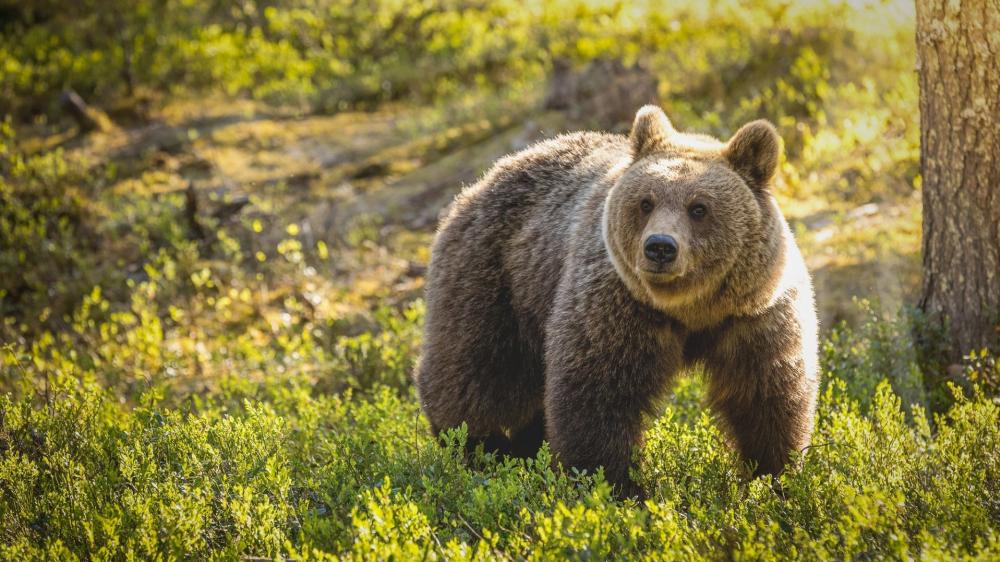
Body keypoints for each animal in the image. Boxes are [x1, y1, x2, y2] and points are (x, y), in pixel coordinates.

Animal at [414, 105, 819, 498]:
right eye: (646, 202)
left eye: (699, 207)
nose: (660, 247)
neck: (690, 309)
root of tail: (485, 178)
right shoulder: (616, 304)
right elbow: (598, 393)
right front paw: (616, 485)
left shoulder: (755, 314)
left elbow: (766, 395)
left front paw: (774, 478)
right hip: (496, 279)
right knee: (477, 372)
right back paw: (482, 449)